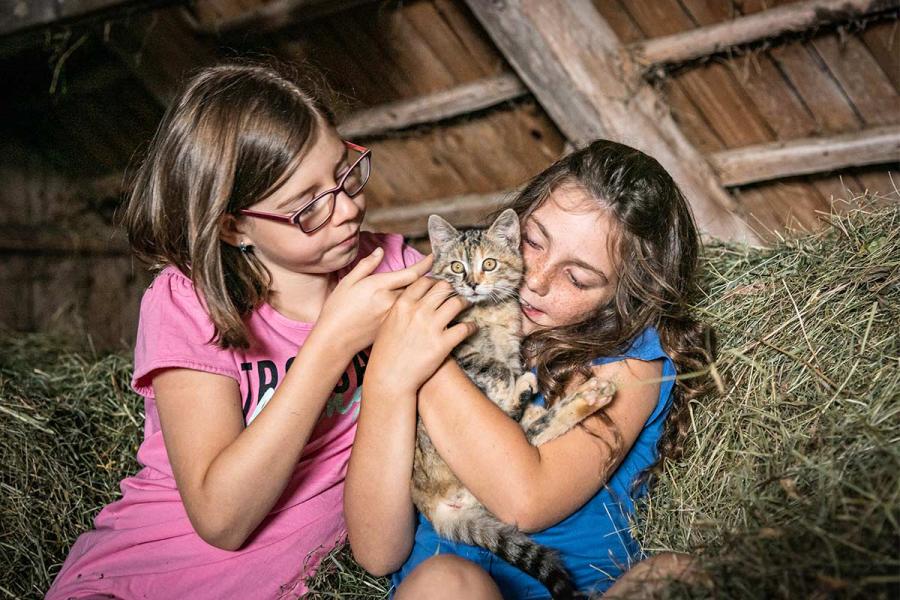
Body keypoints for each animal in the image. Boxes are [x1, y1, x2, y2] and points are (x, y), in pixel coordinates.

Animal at [412, 207, 616, 600]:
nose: (473, 283)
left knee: (525, 430)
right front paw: (509, 380)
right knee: (521, 426)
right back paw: (565, 396)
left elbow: (506, 363)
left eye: (489, 264)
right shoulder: (457, 350)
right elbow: (492, 365)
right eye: (457, 267)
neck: (487, 314)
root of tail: (430, 506)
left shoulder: (509, 345)